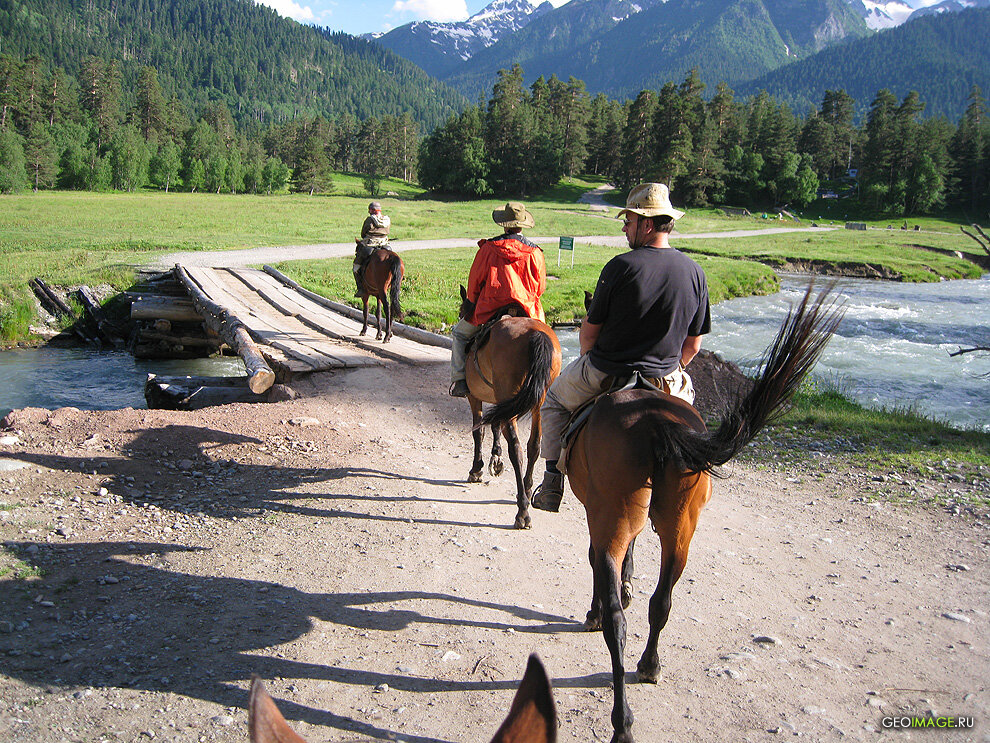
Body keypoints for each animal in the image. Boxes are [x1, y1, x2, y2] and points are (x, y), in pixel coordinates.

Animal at [462, 284, 560, 528]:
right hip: (538, 402)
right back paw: (526, 489)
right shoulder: (501, 402)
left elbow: (479, 431)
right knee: (534, 445)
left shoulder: (474, 396)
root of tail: (536, 334)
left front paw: (477, 469)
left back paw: (522, 511)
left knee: (516, 448)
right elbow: (494, 425)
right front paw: (495, 459)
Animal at [564, 284, 844, 743]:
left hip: (616, 520)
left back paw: (622, 720)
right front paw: (628, 584)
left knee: (617, 623)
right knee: (662, 602)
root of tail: (656, 421)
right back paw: (650, 665)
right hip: (681, 527)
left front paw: (602, 603)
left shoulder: (595, 515)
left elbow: (597, 565)